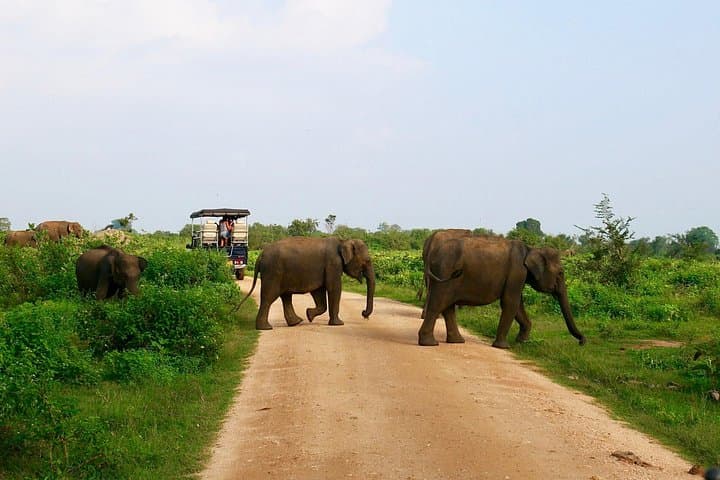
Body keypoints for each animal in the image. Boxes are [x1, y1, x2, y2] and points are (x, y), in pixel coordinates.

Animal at [238, 237, 375, 330]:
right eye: (368, 260)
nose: (364, 314)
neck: (343, 240)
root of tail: (260, 255)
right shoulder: (333, 264)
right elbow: (334, 288)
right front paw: (338, 324)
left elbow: (319, 292)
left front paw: (309, 315)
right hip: (273, 272)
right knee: (269, 297)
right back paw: (266, 328)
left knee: (286, 297)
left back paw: (296, 322)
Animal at [420, 236, 586, 349]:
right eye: (561, 273)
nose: (582, 342)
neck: (531, 248)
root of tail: (432, 254)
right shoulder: (517, 272)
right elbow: (510, 303)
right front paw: (504, 346)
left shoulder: (518, 276)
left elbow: (518, 305)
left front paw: (522, 341)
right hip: (444, 272)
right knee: (439, 303)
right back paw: (429, 344)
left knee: (448, 306)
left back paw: (457, 342)